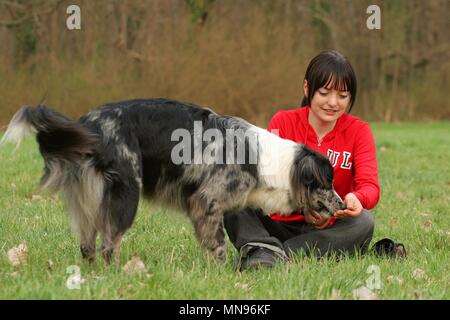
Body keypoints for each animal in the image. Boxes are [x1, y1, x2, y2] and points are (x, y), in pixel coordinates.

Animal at [1, 99, 344, 262]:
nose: (342, 204)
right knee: (109, 244)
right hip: (126, 196)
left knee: (88, 247)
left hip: (87, 202)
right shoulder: (207, 201)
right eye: (327, 184)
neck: (273, 164)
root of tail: (88, 126)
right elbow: (217, 245)